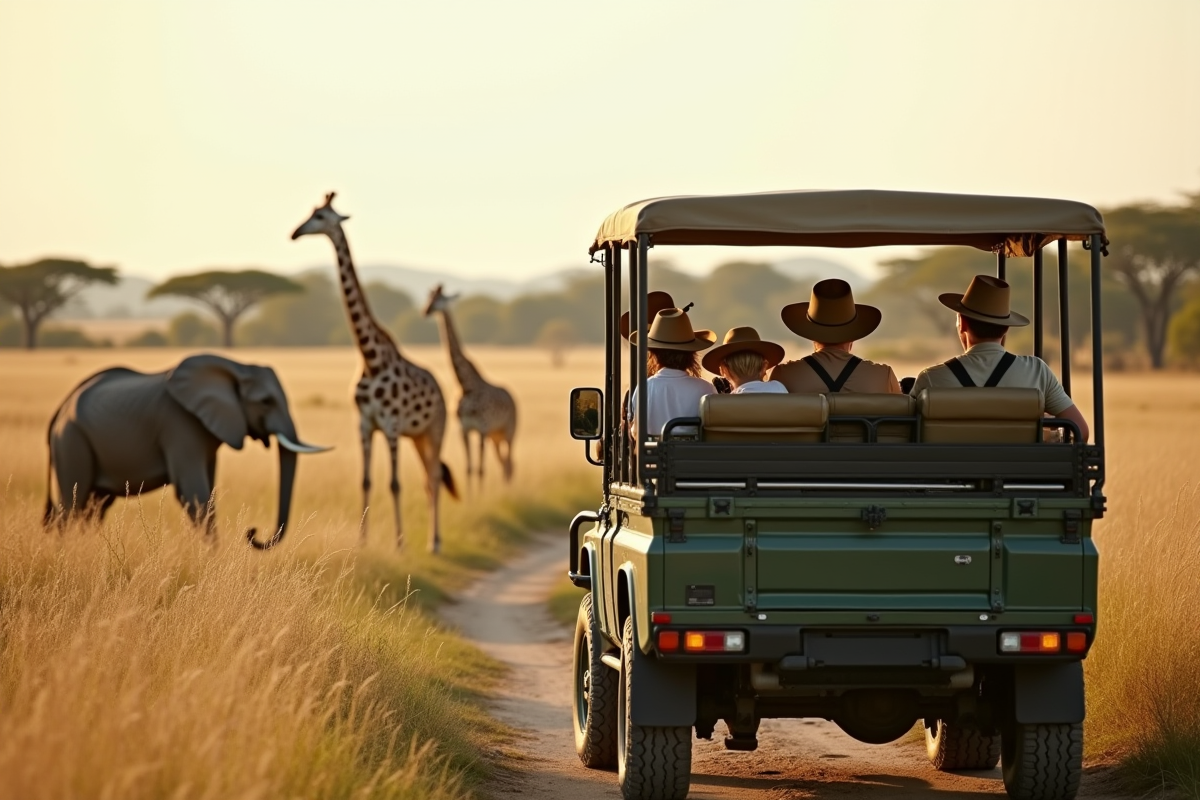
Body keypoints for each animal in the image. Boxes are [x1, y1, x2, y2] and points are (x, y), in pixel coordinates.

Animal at [45, 353, 330, 549]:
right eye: (266, 402)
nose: (252, 533)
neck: (236, 367)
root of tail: (60, 410)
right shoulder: (179, 425)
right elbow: (195, 494)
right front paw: (213, 561)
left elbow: (207, 493)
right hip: (71, 440)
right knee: (71, 504)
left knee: (95, 507)